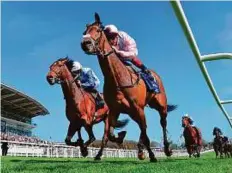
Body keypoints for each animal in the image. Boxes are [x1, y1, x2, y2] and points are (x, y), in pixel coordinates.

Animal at [80, 12, 177, 162]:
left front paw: (152, 155)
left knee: (162, 123)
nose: (85, 43)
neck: (117, 80)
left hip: (160, 106)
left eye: (98, 30)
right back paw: (140, 149)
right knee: (142, 128)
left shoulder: (137, 108)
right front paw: (122, 137)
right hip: (135, 112)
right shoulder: (115, 110)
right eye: (85, 32)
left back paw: (166, 149)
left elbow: (145, 133)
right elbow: (111, 134)